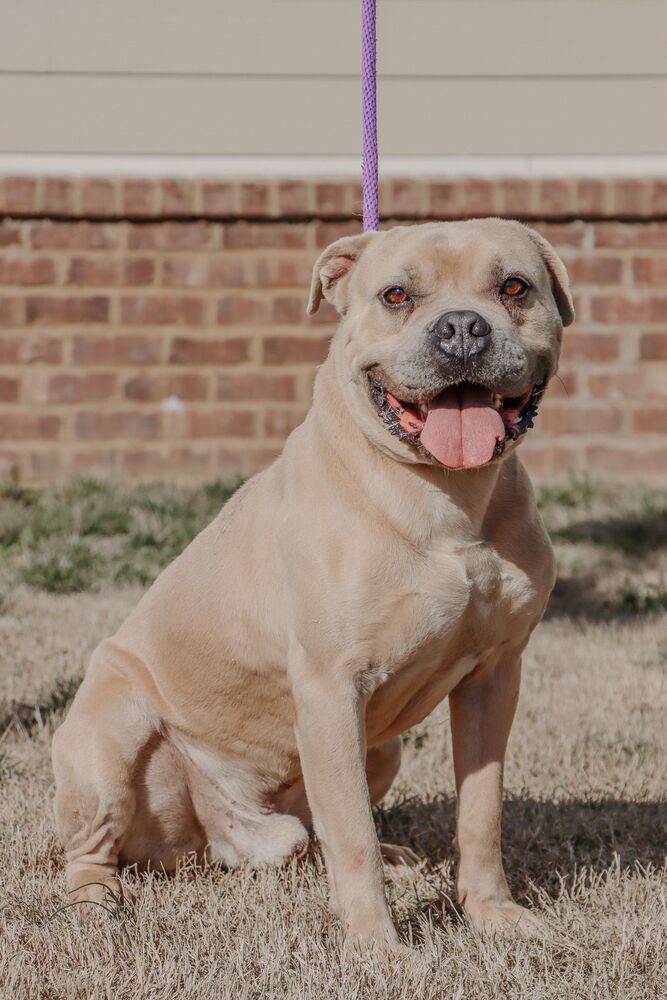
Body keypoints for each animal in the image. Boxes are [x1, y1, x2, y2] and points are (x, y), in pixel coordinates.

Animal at [52, 217, 576, 944]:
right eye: (395, 295)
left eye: (514, 287)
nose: (463, 329)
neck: (447, 493)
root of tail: (222, 833)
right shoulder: (332, 689)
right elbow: (350, 834)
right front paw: (377, 947)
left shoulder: (493, 677)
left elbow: (480, 810)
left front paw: (492, 914)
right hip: (109, 734)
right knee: (93, 847)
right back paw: (95, 901)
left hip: (381, 751)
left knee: (314, 836)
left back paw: (396, 860)